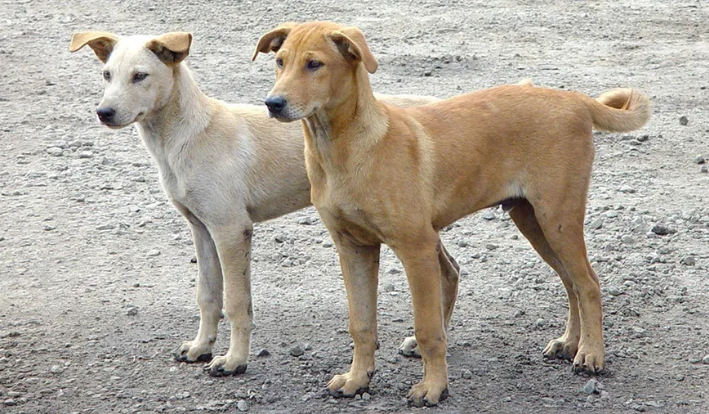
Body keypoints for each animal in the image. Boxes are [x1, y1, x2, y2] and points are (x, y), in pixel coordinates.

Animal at [69, 29, 450, 376]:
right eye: (107, 75)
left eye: (140, 76)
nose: (104, 112)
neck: (187, 136)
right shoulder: (201, 230)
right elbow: (208, 296)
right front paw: (201, 347)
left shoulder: (231, 230)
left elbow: (237, 303)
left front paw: (234, 360)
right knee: (450, 270)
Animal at [253, 21, 648, 406]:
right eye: (280, 62)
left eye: (314, 64)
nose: (273, 104)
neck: (344, 148)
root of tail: (574, 99)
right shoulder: (352, 248)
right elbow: (361, 324)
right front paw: (357, 379)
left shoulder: (416, 248)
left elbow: (428, 328)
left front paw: (433, 388)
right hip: (532, 219)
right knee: (570, 282)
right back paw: (569, 343)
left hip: (558, 217)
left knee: (588, 283)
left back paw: (591, 355)